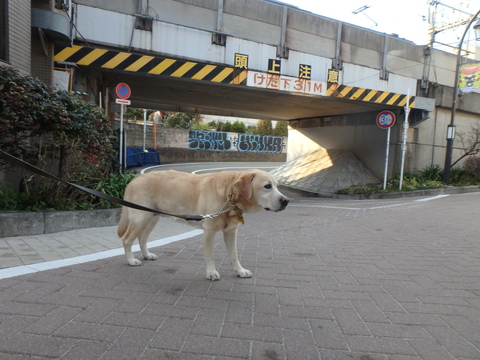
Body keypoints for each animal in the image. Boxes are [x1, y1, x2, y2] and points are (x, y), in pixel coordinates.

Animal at [118, 168, 288, 278]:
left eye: (277, 186)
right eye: (267, 186)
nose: (286, 201)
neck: (229, 195)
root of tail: (133, 180)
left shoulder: (231, 232)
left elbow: (234, 255)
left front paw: (240, 271)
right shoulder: (209, 231)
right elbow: (210, 255)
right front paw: (211, 272)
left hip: (152, 218)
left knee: (142, 238)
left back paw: (147, 255)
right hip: (141, 218)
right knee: (127, 239)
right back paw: (131, 260)